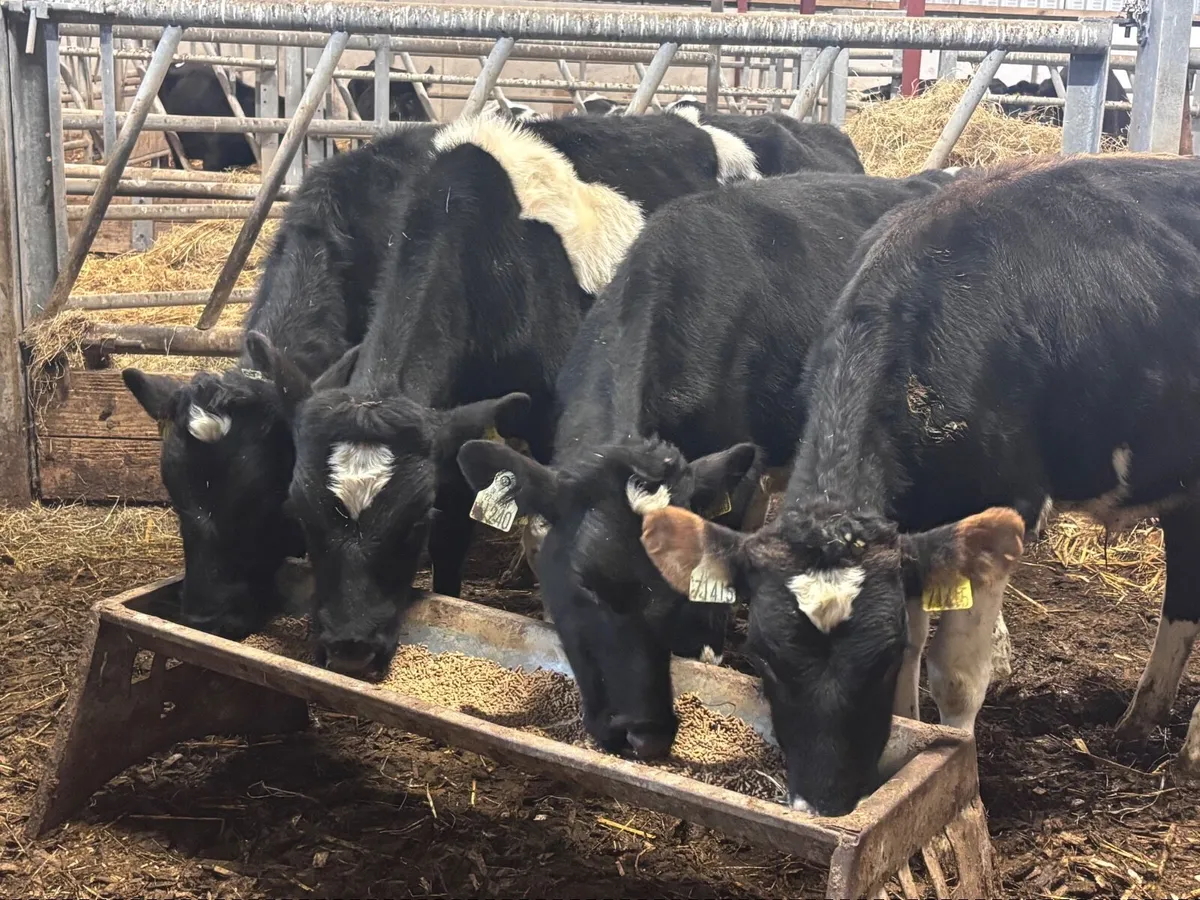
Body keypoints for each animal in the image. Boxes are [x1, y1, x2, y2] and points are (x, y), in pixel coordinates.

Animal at [635, 155, 1200, 816]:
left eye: (871, 665)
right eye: (762, 660)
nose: (823, 802)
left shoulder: (1000, 515)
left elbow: (954, 676)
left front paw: (959, 770)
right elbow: (915, 654)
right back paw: (1139, 721)